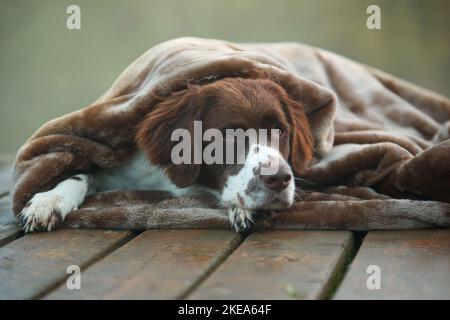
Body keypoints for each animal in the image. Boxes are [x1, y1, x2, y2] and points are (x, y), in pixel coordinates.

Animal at [17, 77, 312, 232]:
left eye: (280, 130)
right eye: (227, 136)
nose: (279, 179)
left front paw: (243, 209)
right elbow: (80, 174)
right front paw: (48, 201)